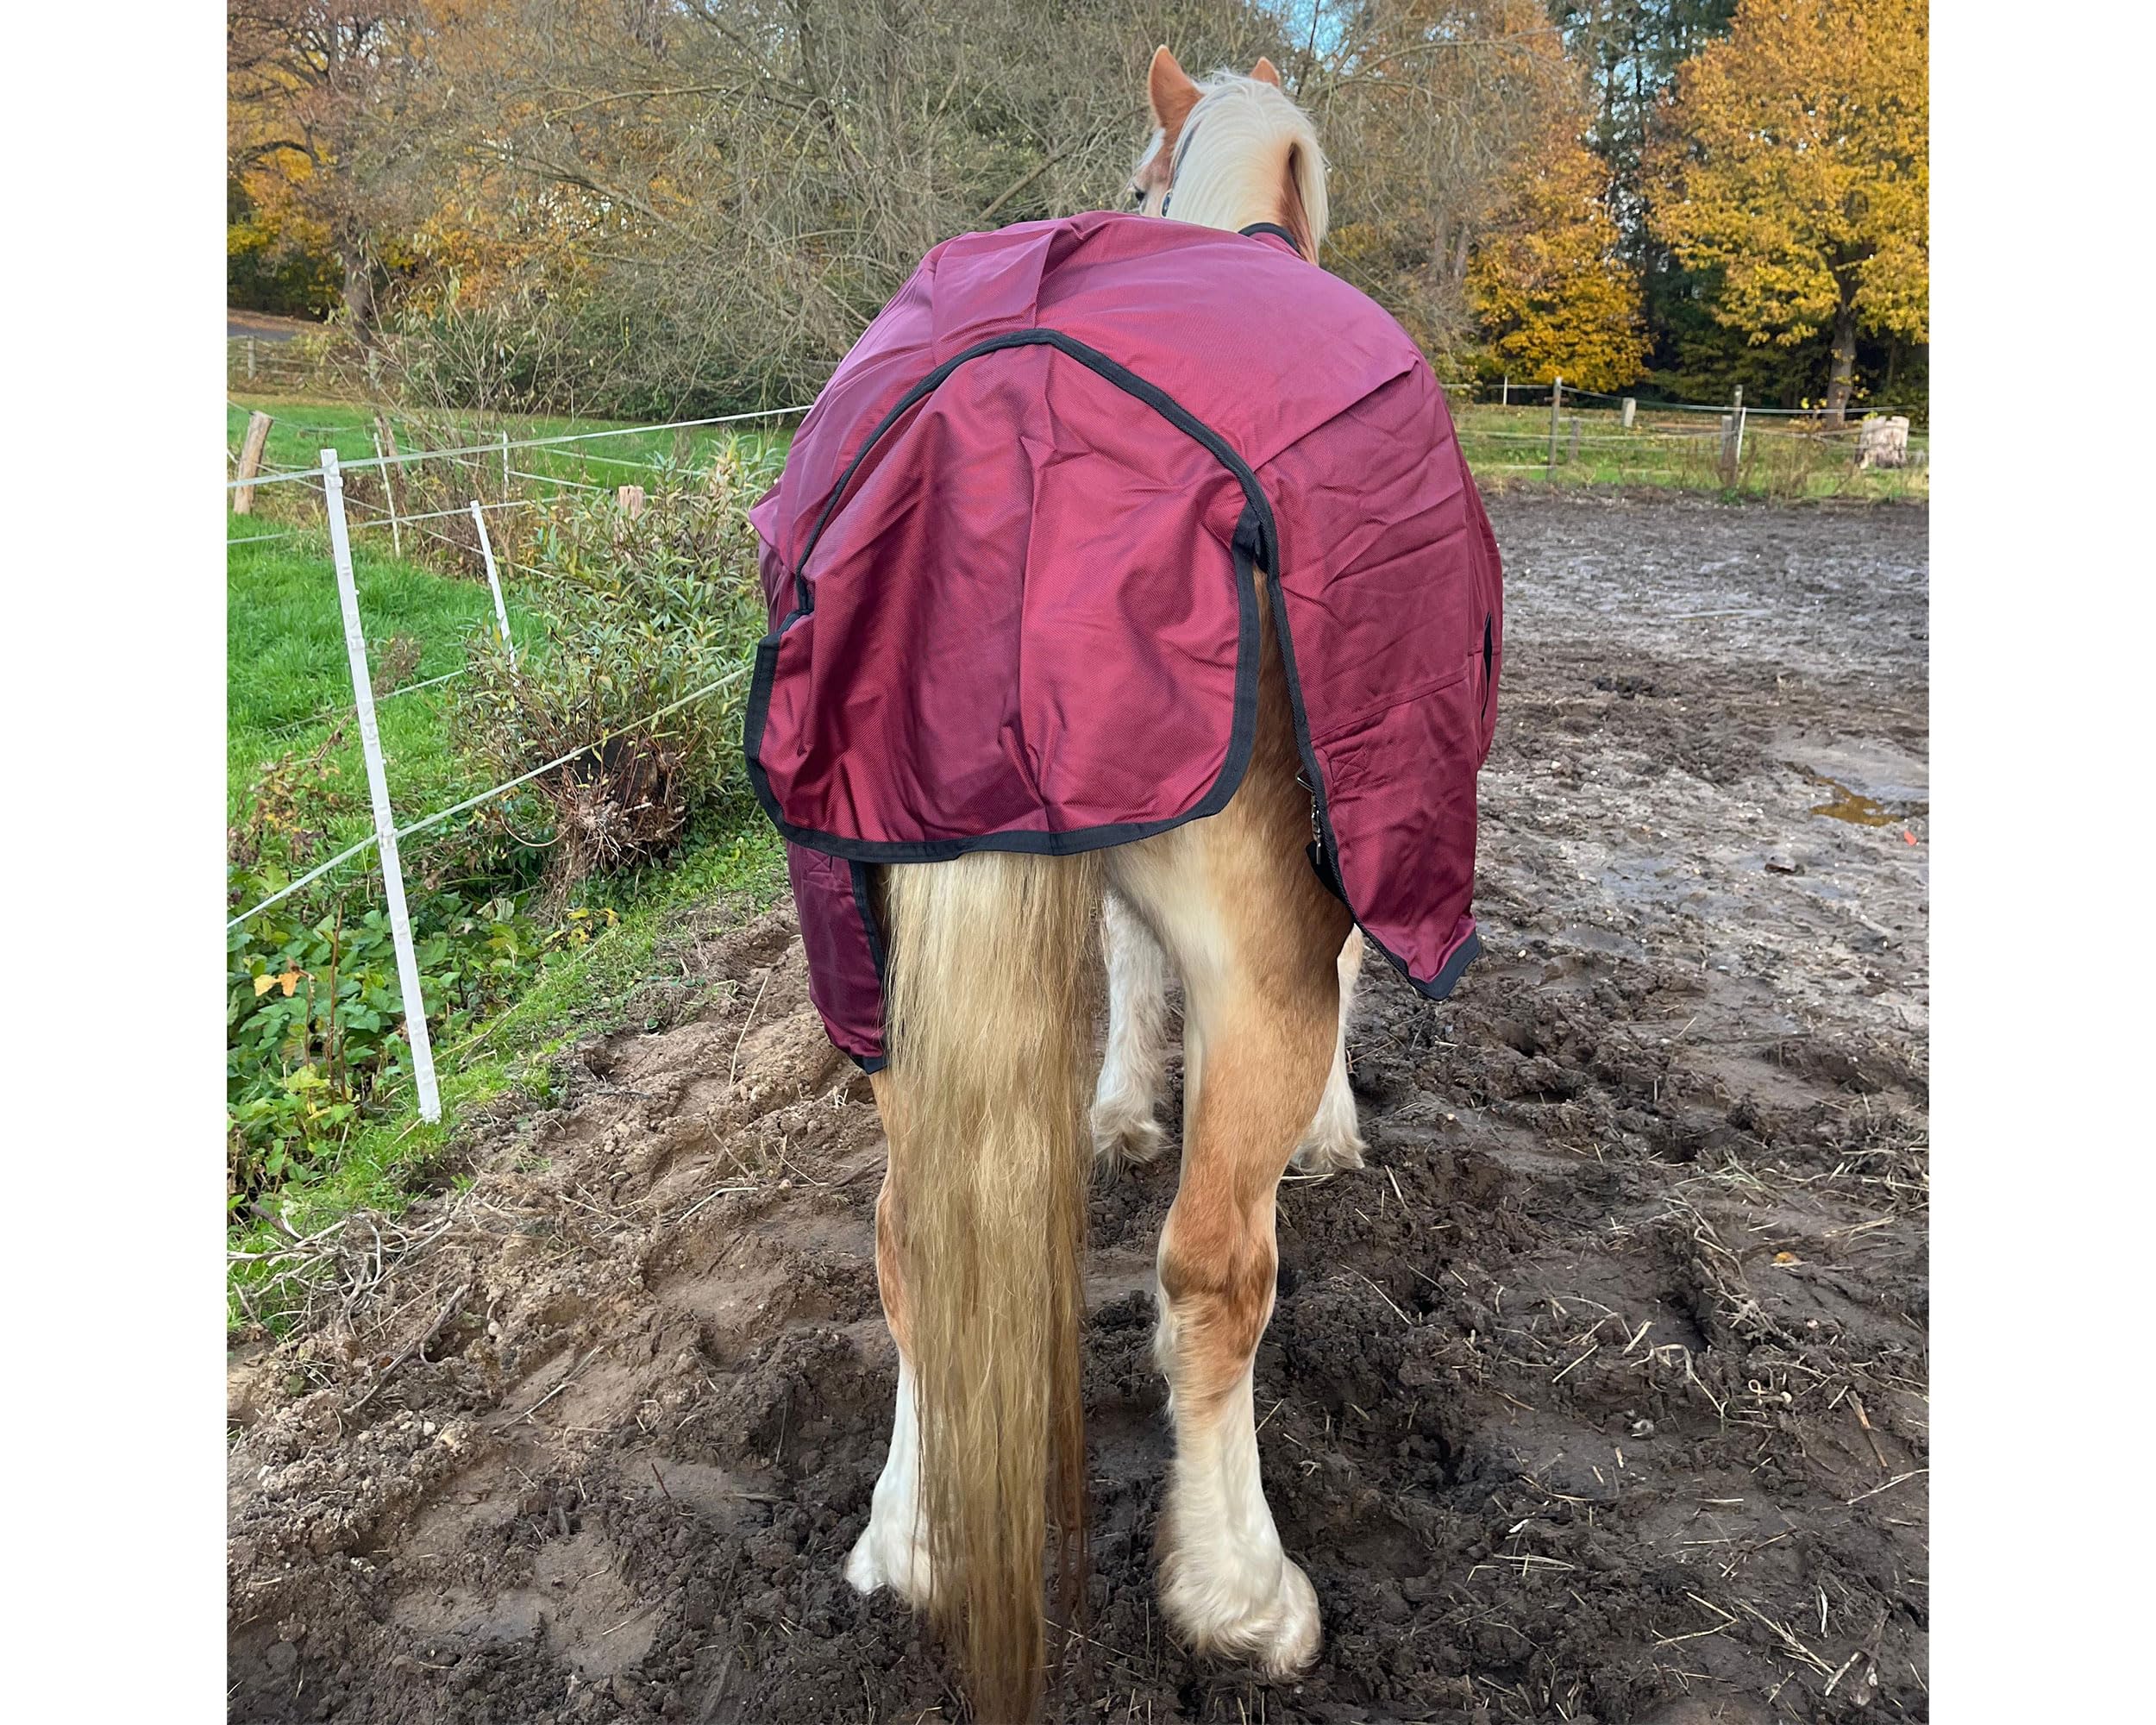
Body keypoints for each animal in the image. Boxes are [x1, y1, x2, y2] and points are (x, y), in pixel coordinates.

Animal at [842, 49, 1367, 1720]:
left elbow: (1130, 973)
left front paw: (1120, 1109)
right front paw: (1334, 1131)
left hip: (889, 993)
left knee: (915, 1247)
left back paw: (910, 1543)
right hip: (1258, 972)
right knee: (1213, 1278)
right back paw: (1241, 1592)